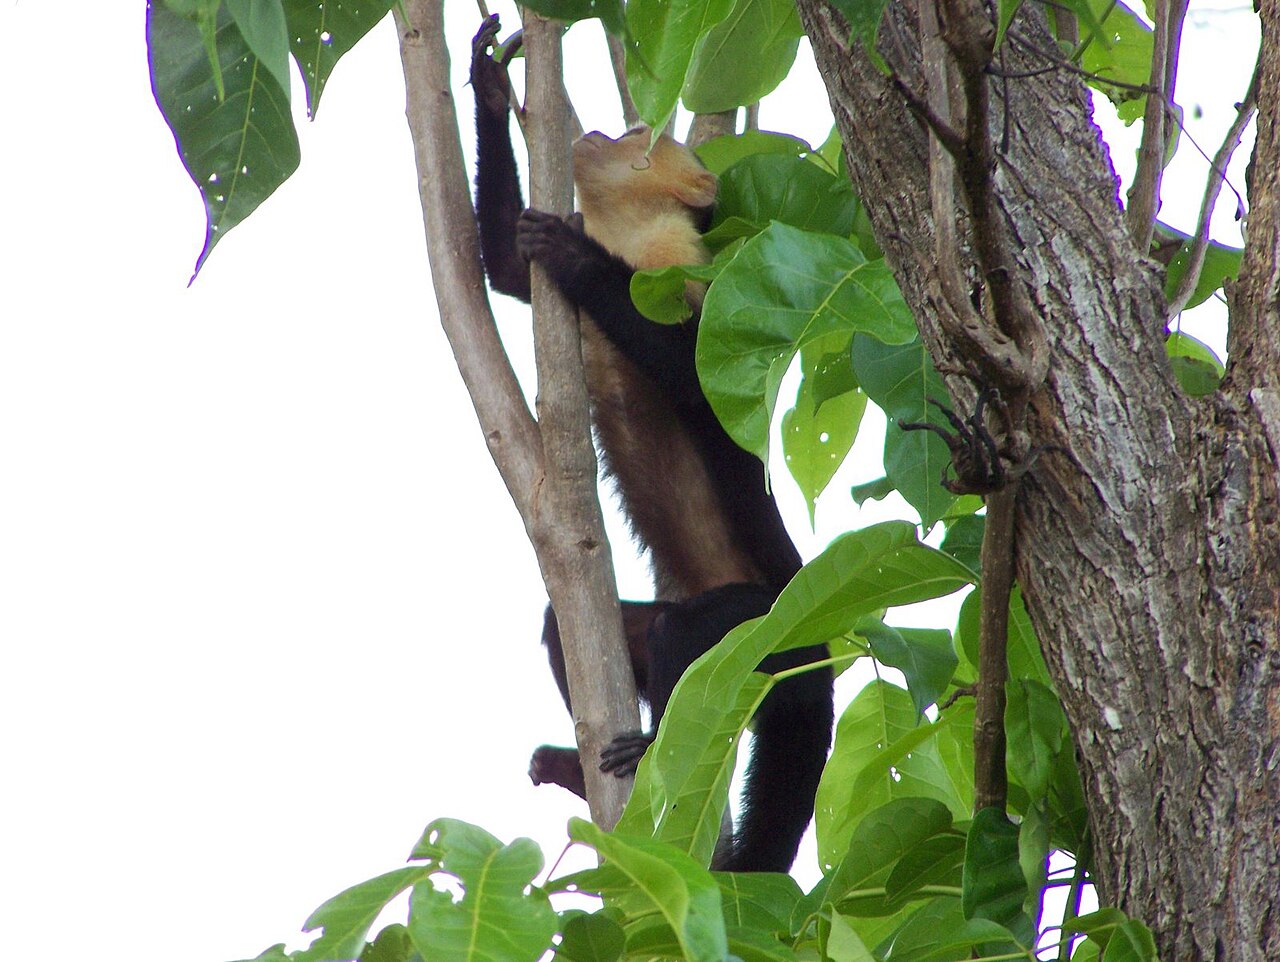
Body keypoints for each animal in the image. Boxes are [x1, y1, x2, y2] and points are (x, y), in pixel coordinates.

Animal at [470, 15, 833, 873]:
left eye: (640, 133)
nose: (603, 129)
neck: (632, 239)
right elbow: (504, 269)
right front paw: (490, 81)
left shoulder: (687, 274)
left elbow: (703, 386)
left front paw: (581, 262)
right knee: (572, 626)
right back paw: (580, 767)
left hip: (770, 625)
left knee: (686, 636)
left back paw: (652, 750)